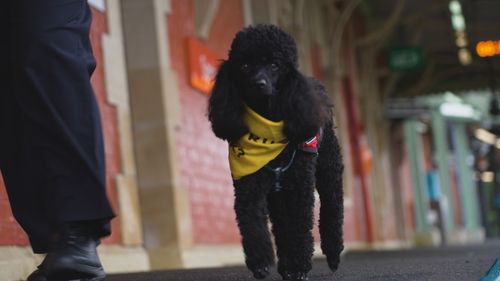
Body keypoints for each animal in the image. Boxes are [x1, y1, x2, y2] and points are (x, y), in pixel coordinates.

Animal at [207, 24, 344, 280]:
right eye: (244, 65)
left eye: (274, 65)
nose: (258, 84)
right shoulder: (250, 185)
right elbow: (252, 223)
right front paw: (261, 263)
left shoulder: (300, 187)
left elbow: (300, 226)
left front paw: (299, 267)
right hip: (278, 193)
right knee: (281, 225)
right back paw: (286, 266)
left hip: (328, 169)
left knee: (332, 206)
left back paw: (332, 254)